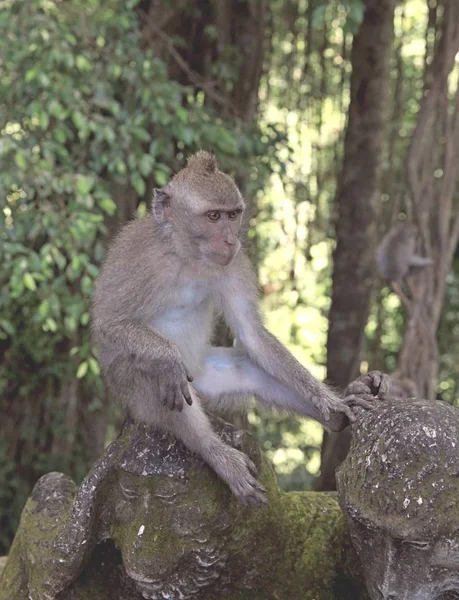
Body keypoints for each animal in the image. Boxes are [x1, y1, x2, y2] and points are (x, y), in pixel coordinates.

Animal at [91, 151, 380, 506]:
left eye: (232, 215)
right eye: (213, 216)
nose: (231, 240)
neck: (186, 255)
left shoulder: (235, 263)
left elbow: (252, 335)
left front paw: (330, 404)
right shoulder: (137, 259)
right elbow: (109, 322)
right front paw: (167, 355)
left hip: (204, 379)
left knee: (249, 369)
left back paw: (337, 415)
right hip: (135, 396)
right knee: (153, 377)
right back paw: (217, 454)